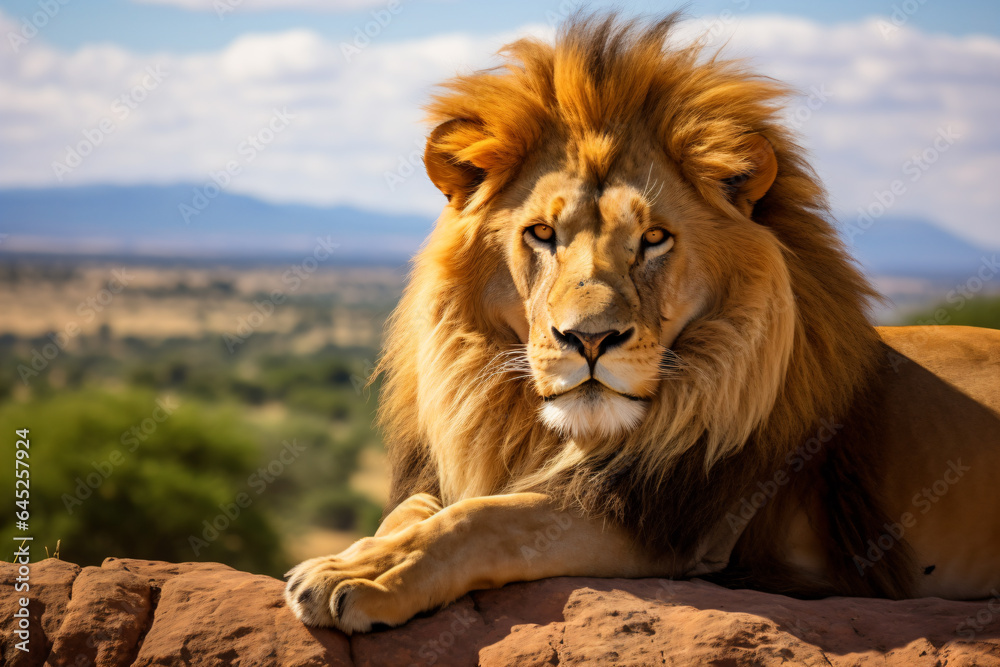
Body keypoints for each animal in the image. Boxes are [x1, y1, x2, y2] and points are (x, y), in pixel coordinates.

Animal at [286, 13, 1000, 636]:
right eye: (541, 234)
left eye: (654, 239)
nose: (589, 340)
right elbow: (414, 514)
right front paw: (355, 558)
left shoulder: (674, 522)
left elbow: (487, 519)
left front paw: (366, 579)